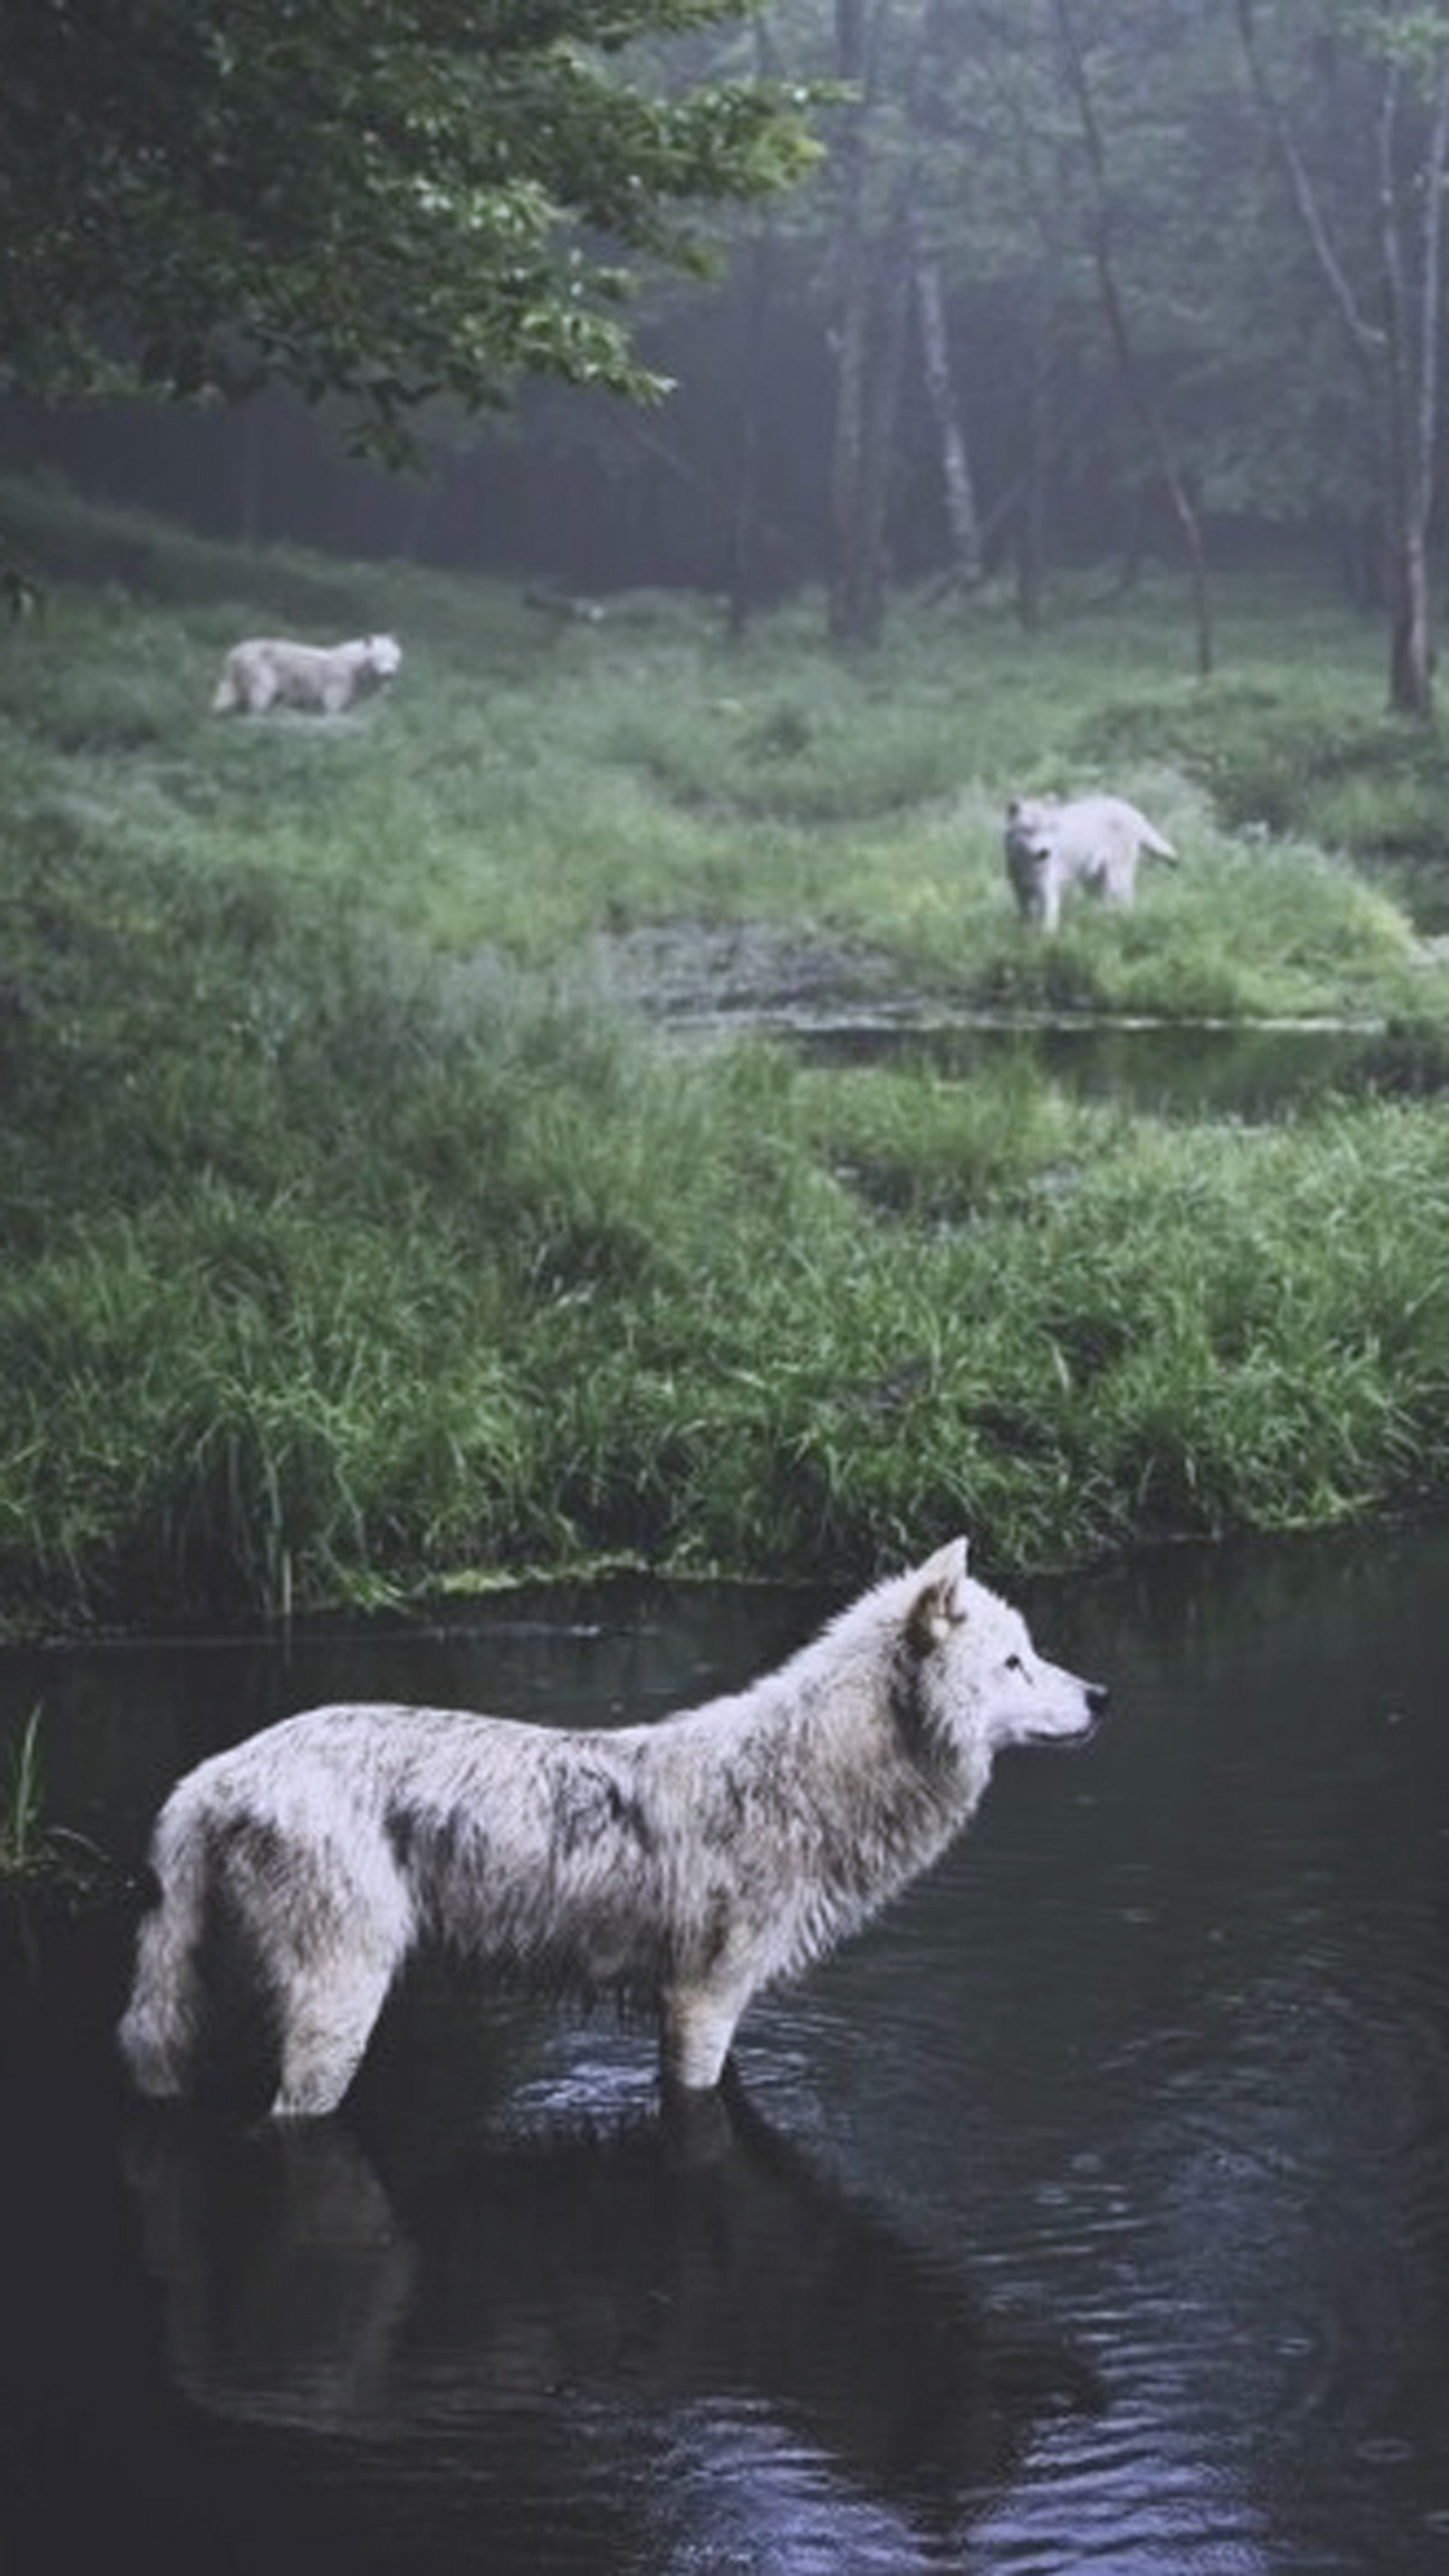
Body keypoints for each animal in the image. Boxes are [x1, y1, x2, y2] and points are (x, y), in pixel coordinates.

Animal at [119, 1535, 1107, 2122]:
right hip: (337, 2016)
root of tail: (210, 1776)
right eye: (1014, 1662)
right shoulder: (701, 2005)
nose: (1102, 1697)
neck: (808, 1775)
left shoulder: (706, 2007)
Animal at [212, 636, 401, 721]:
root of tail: (234, 655)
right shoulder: (339, 681)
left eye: (395, 657)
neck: (356, 669)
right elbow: (332, 708)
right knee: (261, 695)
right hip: (260, 670)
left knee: (225, 697)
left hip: (234, 677)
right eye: (378, 656)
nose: (388, 674)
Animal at [1009, 798, 1178, 942]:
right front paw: (1024, 936)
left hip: (1115, 879)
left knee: (1125, 901)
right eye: (1028, 830)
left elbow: (1048, 918)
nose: (1044, 853)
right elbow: (1025, 918)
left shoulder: (1047, 888)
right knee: (1105, 905)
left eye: (1049, 829)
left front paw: (1046, 940)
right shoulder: (1020, 890)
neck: (1026, 863)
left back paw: (1123, 924)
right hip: (1094, 881)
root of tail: (1130, 809)